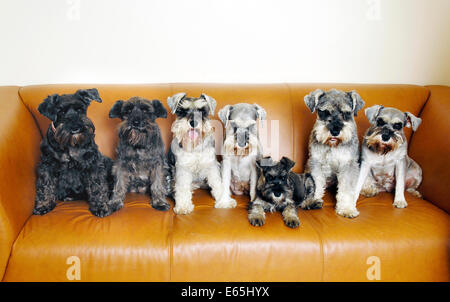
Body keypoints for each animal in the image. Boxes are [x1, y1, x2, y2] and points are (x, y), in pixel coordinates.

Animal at [33, 87, 114, 217]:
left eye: (80, 109)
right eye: (61, 112)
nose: (76, 127)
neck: (70, 145)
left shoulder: (93, 164)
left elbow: (98, 186)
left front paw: (101, 206)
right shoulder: (47, 165)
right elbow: (45, 185)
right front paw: (43, 205)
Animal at [304, 88, 364, 218]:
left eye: (346, 113)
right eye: (325, 112)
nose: (335, 130)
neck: (332, 146)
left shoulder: (348, 164)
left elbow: (346, 188)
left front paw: (347, 208)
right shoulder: (315, 162)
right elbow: (316, 182)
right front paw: (312, 200)